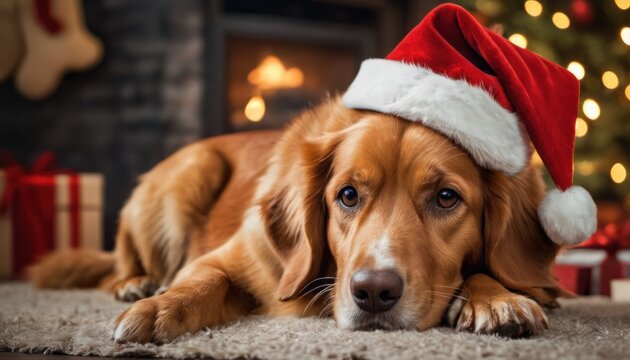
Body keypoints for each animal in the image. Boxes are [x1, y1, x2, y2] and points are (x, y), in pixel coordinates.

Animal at [28, 96, 568, 344]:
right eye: (347, 195)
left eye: (446, 198)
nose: (373, 293)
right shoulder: (226, 260)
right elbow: (197, 284)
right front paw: (158, 309)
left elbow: (491, 274)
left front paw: (497, 298)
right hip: (189, 172)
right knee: (121, 264)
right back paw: (136, 285)